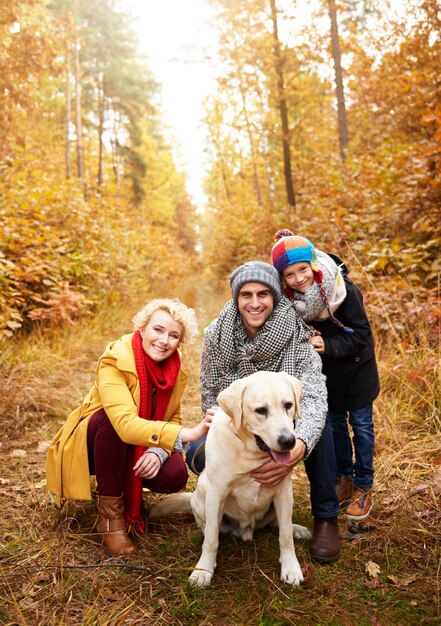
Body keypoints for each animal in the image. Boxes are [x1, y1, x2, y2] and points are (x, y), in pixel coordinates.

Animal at [150, 370, 312, 584]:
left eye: (288, 405)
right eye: (261, 410)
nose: (289, 441)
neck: (251, 453)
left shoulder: (283, 491)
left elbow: (285, 536)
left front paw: (291, 568)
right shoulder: (216, 492)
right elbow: (211, 539)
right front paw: (203, 570)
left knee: (278, 523)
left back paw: (296, 529)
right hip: (202, 493)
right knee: (209, 528)